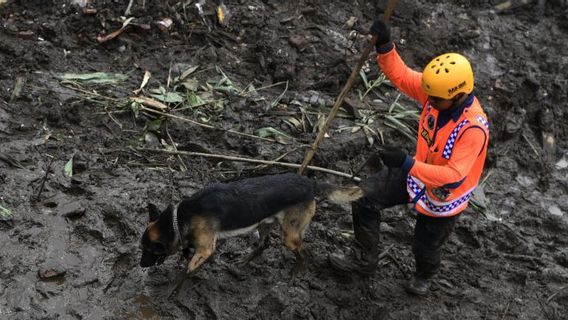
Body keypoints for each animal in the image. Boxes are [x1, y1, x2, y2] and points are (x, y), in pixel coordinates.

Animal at [139, 174, 362, 274]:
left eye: (150, 251)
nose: (141, 265)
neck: (178, 218)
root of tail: (310, 182)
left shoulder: (205, 247)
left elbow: (190, 266)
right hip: (264, 223)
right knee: (264, 244)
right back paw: (243, 262)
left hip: (290, 235)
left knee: (303, 251)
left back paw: (296, 270)